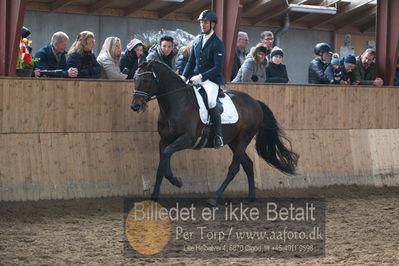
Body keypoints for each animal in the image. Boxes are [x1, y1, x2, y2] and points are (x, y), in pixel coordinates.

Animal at [130, 60, 298, 206]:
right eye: (135, 79)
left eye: (145, 79)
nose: (135, 106)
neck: (178, 103)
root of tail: (255, 102)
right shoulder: (164, 140)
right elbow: (162, 165)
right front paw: (162, 191)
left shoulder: (187, 139)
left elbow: (166, 157)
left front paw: (171, 184)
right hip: (234, 142)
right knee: (248, 165)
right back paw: (250, 198)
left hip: (243, 139)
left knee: (234, 168)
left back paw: (214, 198)